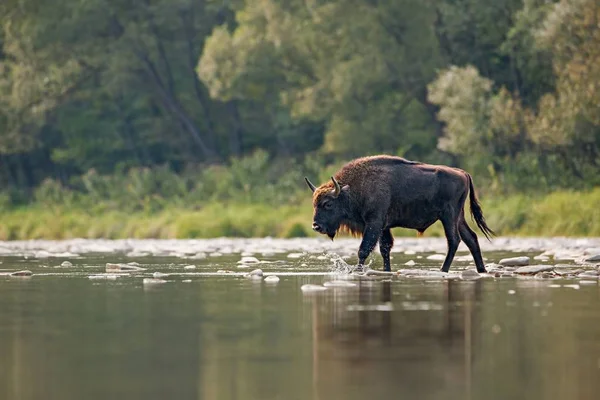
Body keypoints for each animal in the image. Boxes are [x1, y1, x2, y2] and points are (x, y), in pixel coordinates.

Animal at [302, 155, 494, 274]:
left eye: (328, 204)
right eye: (314, 204)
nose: (316, 226)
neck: (352, 190)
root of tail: (463, 173)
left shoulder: (374, 223)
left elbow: (364, 249)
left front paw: (357, 270)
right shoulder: (384, 227)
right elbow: (385, 248)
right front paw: (387, 270)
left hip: (449, 216)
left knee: (454, 240)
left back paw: (443, 269)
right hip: (458, 218)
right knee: (471, 238)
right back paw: (481, 269)